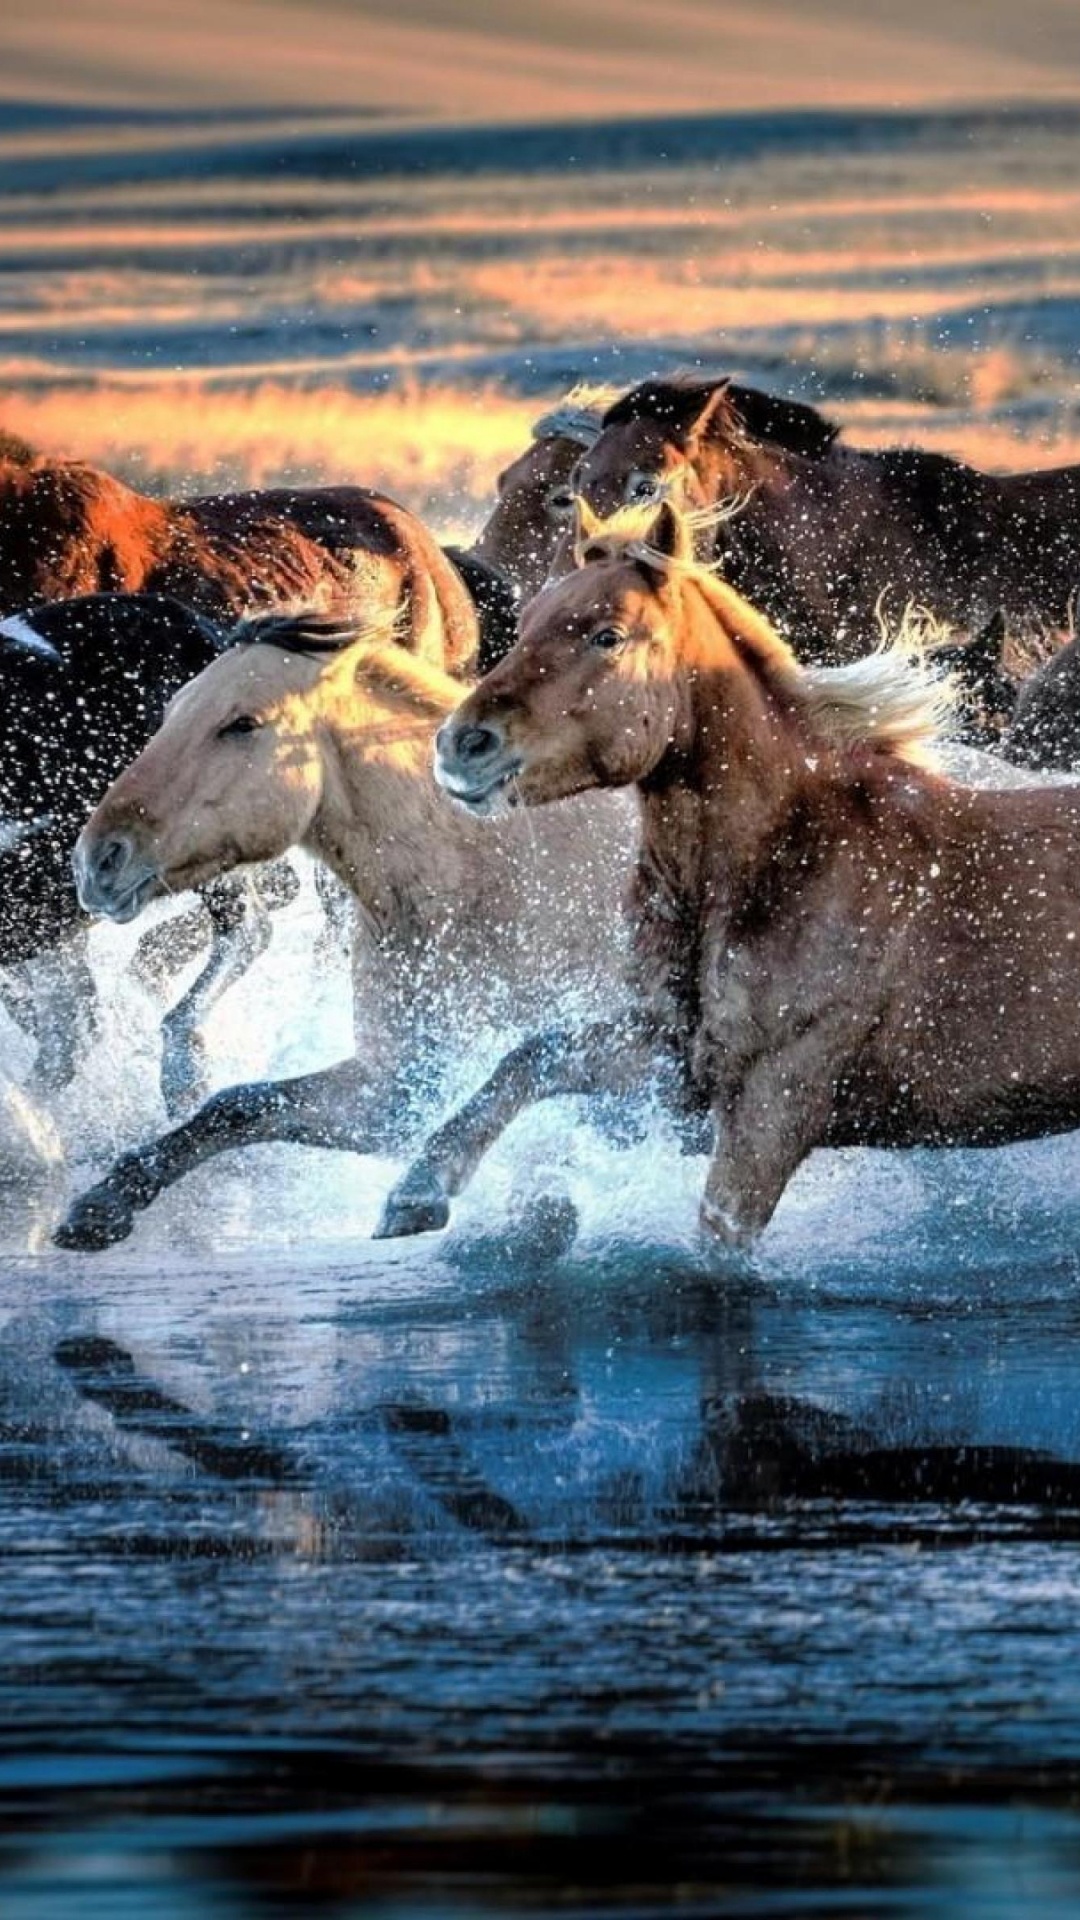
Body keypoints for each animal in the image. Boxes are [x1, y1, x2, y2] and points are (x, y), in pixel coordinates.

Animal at [53, 611, 634, 1250]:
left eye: (242, 723)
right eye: (171, 711)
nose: (96, 861)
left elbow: (532, 1061)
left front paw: (419, 1192)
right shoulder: (399, 1085)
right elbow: (239, 1105)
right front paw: (104, 1202)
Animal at [375, 497, 1080, 1252]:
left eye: (607, 634)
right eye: (529, 620)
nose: (461, 745)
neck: (782, 861)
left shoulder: (775, 1102)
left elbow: (718, 1235)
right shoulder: (676, 1061)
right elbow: (530, 1058)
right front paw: (415, 1196)